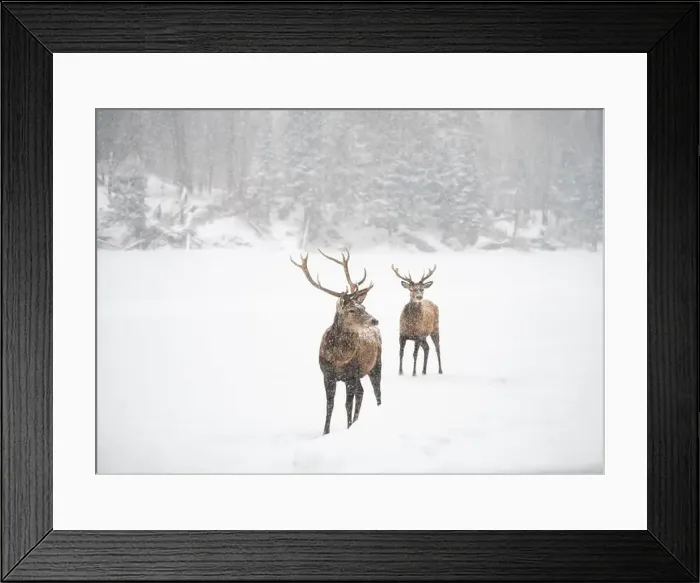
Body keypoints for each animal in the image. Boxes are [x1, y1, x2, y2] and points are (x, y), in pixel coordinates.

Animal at [291, 248, 382, 435]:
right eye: (351, 310)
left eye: (363, 307)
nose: (375, 320)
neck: (338, 359)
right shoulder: (327, 375)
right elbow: (329, 405)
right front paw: (326, 432)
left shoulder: (351, 375)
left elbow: (347, 404)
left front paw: (347, 427)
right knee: (362, 392)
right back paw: (356, 421)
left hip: (376, 364)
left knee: (377, 392)